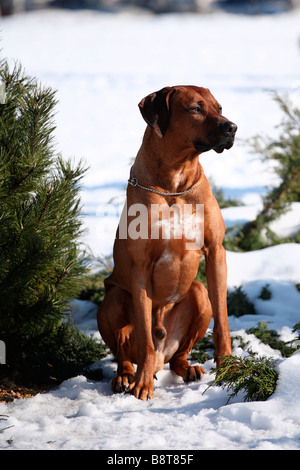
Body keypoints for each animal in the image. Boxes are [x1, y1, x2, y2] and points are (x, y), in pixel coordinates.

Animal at [97, 85, 238, 400]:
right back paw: (127, 376)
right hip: (114, 298)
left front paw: (230, 368)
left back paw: (188, 368)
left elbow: (223, 322)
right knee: (128, 352)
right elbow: (145, 340)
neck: (175, 183)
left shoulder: (216, 252)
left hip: (198, 293)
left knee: (177, 356)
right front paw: (142, 384)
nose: (232, 127)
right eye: (195, 108)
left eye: (220, 108)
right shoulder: (140, 266)